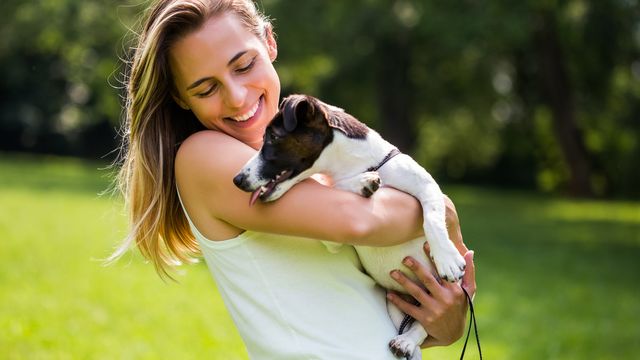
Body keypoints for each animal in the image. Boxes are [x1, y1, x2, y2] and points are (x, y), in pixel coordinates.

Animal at [235, 94, 464, 358]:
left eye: (272, 137)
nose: (237, 180)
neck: (355, 165)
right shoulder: (333, 236)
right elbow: (336, 187)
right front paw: (362, 183)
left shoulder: (427, 186)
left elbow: (433, 219)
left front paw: (446, 259)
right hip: (394, 303)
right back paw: (405, 343)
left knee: (423, 326)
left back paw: (407, 340)